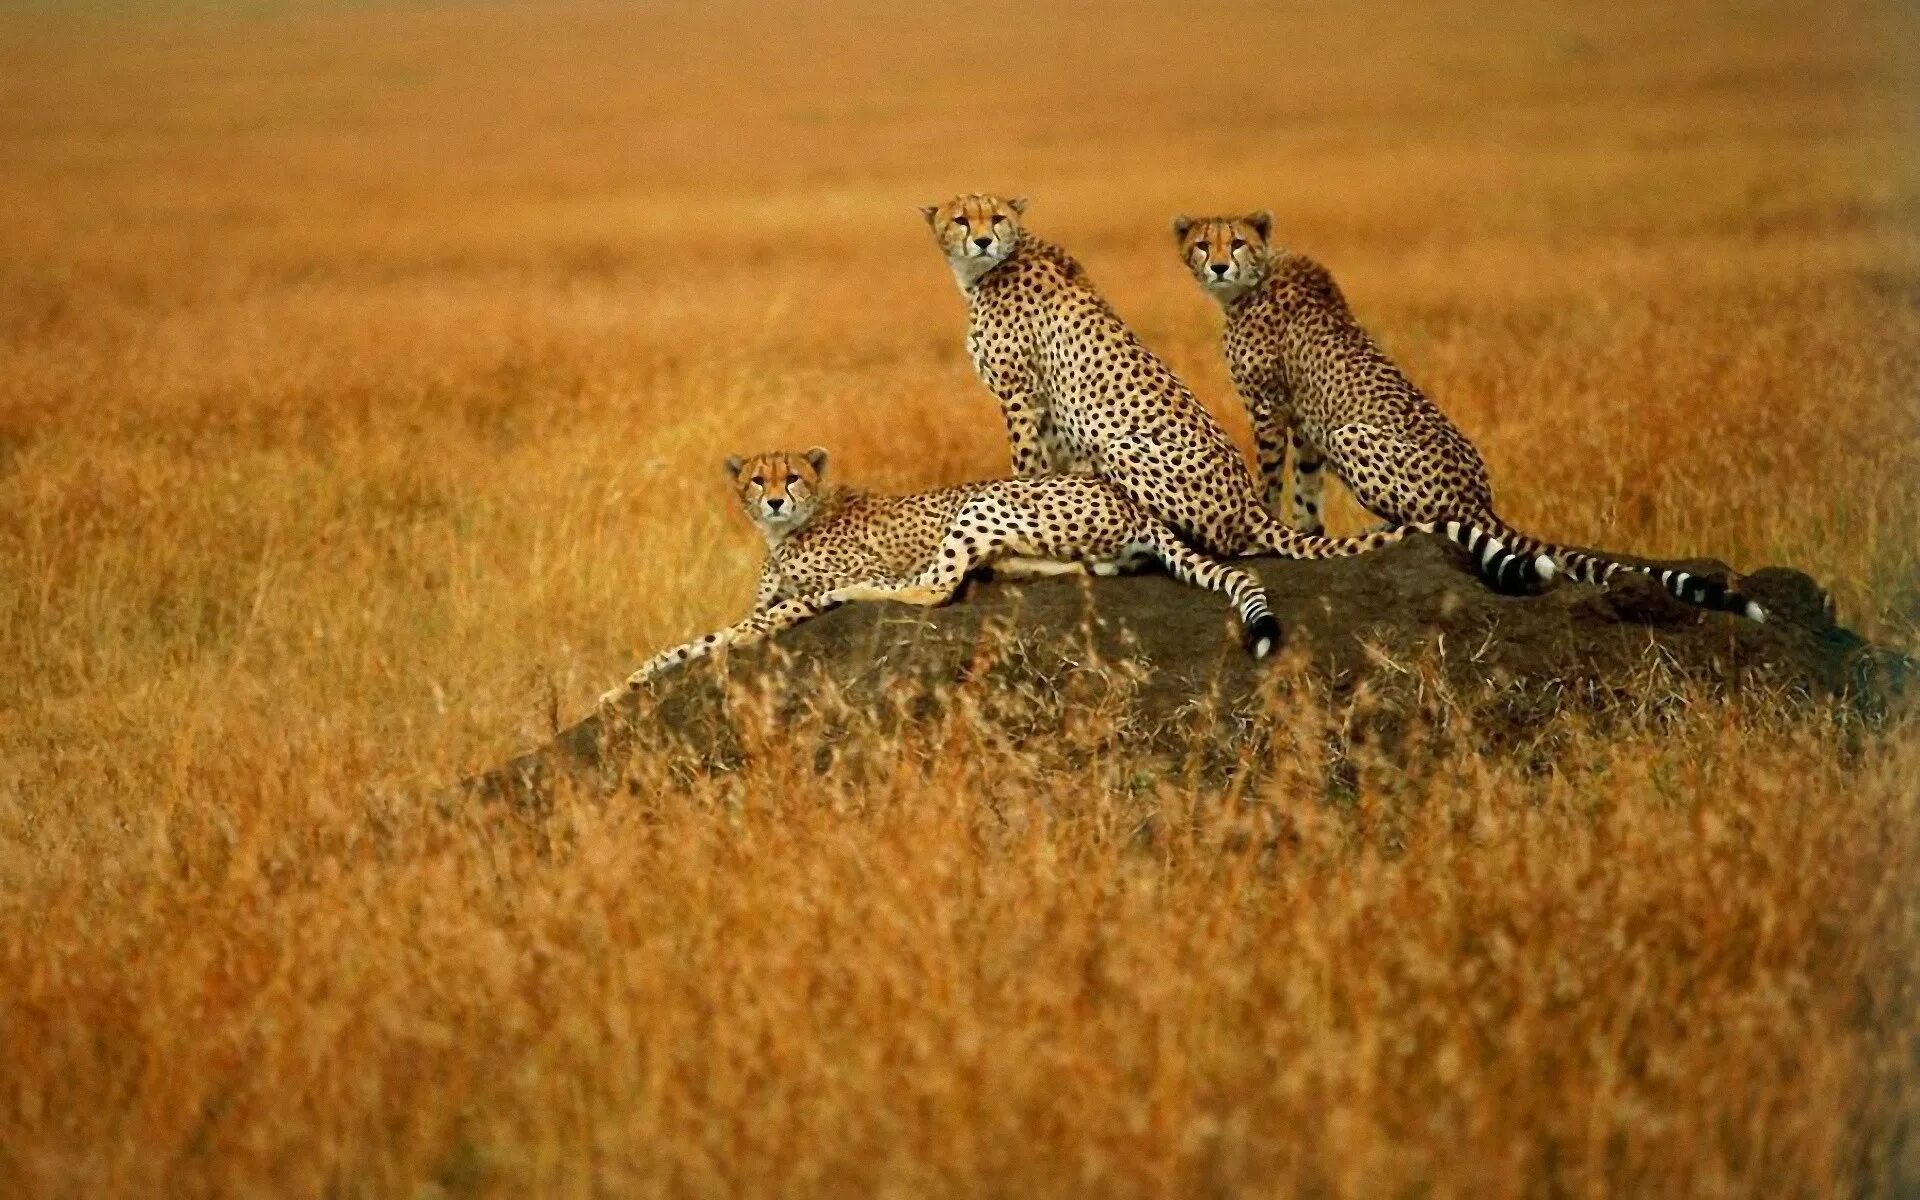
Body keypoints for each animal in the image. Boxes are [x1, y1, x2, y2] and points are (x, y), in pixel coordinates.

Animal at [595, 447, 1290, 702]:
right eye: (755, 479)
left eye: (791, 476)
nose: (771, 501)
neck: (787, 531)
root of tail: (1130, 497)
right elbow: (687, 643)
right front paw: (622, 686)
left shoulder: (796, 599)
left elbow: (730, 634)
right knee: (1079, 566)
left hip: (984, 501)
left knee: (933, 587)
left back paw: (863, 592)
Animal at [913, 195, 1413, 564]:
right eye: (961, 219)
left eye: (996, 218)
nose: (982, 240)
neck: (987, 270)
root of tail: (1248, 501)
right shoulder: (1045, 410)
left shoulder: (1019, 393)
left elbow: (1024, 466)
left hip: (1122, 445)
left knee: (1223, 542)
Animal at [1167, 209, 1766, 618]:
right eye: (1201, 244)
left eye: (1236, 242)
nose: (1217, 264)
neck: (1255, 280)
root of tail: (1481, 500)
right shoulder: (1304, 422)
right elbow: (1307, 493)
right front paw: (1307, 531)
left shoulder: (1270, 410)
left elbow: (1269, 481)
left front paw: (1267, 529)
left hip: (1353, 434)